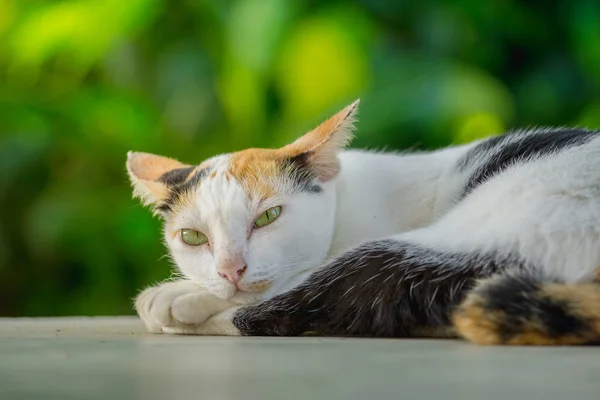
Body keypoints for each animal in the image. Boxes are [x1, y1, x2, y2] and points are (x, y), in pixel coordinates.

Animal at [126, 99, 600, 344]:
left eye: (268, 217)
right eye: (192, 237)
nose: (230, 269)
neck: (348, 201)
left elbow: (289, 285)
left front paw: (180, 295)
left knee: (312, 304)